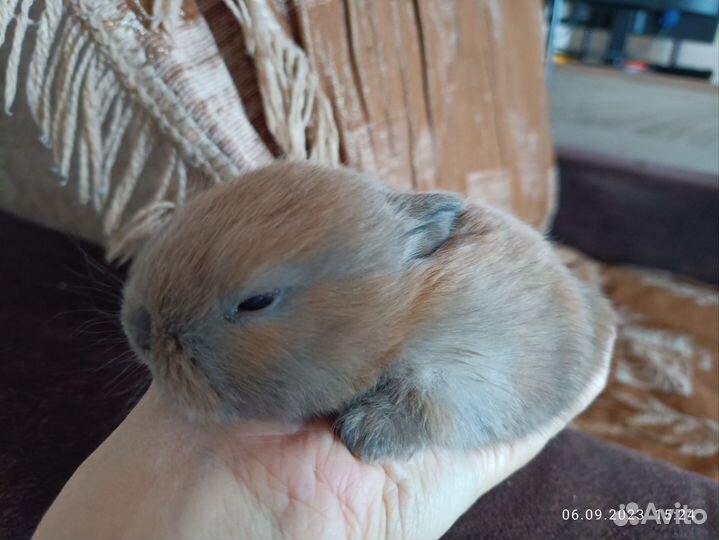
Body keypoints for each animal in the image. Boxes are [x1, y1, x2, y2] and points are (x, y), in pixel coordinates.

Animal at [121, 161, 616, 461]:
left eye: (257, 301)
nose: (137, 329)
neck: (394, 314)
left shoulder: (459, 379)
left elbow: (420, 409)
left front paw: (363, 434)